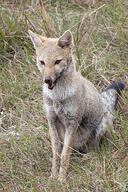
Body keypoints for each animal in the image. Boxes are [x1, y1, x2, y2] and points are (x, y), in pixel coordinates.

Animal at [28, 29, 125, 182]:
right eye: (42, 62)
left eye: (57, 62)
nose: (47, 80)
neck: (57, 97)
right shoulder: (51, 121)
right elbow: (57, 153)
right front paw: (53, 176)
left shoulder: (72, 123)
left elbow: (64, 155)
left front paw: (61, 180)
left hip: (102, 126)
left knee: (98, 149)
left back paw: (89, 156)